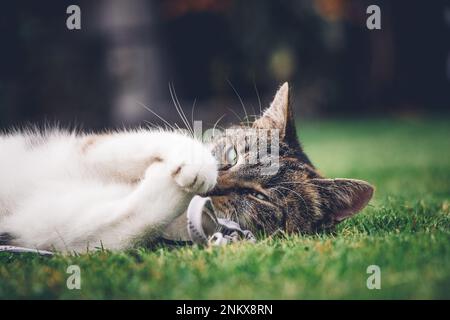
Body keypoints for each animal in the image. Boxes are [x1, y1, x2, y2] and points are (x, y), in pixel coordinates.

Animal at [0, 82, 372, 252]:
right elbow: (141, 140)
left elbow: (134, 220)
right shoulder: (87, 148)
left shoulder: (52, 227)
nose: (216, 187)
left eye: (260, 197)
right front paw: (195, 162)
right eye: (233, 155)